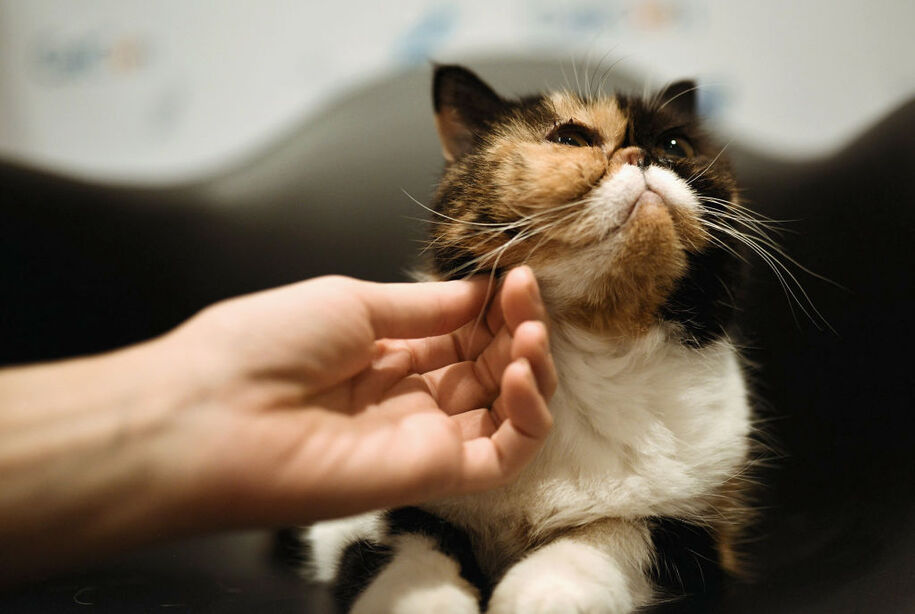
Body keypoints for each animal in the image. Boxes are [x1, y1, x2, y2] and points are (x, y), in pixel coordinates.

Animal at [296, 65, 760, 612]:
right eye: (570, 138)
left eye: (675, 143)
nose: (647, 156)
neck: (586, 350)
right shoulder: (355, 515)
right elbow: (405, 543)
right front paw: (425, 600)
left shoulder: (696, 528)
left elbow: (609, 535)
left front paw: (545, 591)